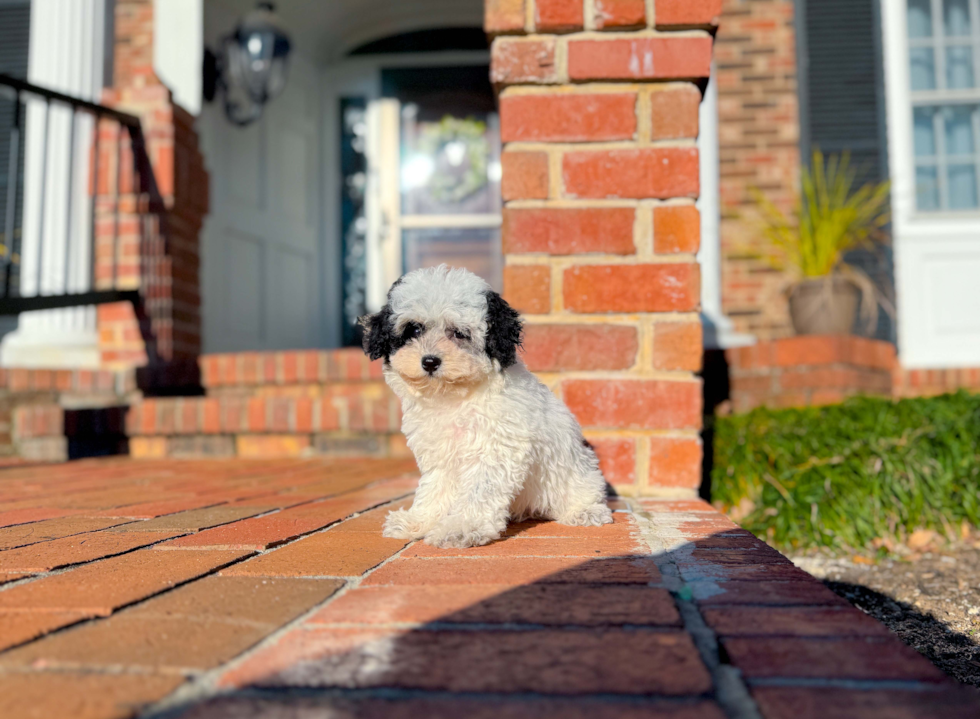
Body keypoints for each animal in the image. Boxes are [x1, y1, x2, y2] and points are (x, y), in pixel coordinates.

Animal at [356, 268, 608, 548]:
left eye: (458, 333)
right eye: (414, 329)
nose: (430, 361)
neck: (455, 397)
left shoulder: (494, 450)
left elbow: (479, 492)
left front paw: (461, 528)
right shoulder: (441, 455)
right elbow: (434, 489)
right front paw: (418, 521)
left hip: (576, 471)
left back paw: (586, 511)